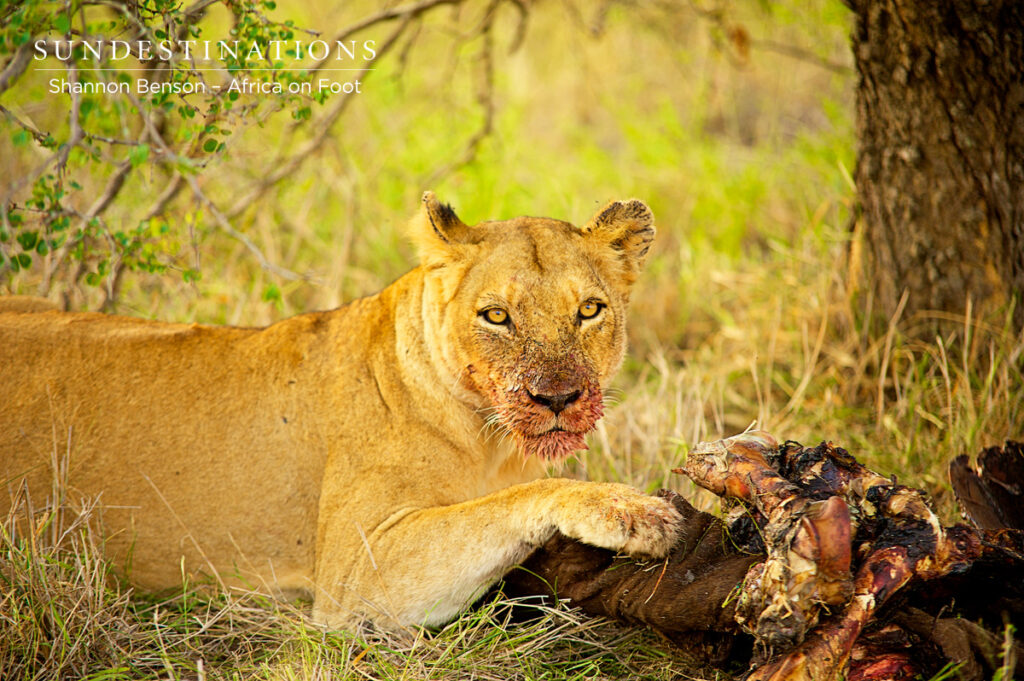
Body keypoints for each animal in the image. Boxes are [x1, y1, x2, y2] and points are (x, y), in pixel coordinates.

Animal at [0, 193, 680, 629]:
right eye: (496, 316)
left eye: (589, 310)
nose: (559, 398)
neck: (490, 442)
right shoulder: (357, 570)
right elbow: (506, 504)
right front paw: (627, 509)